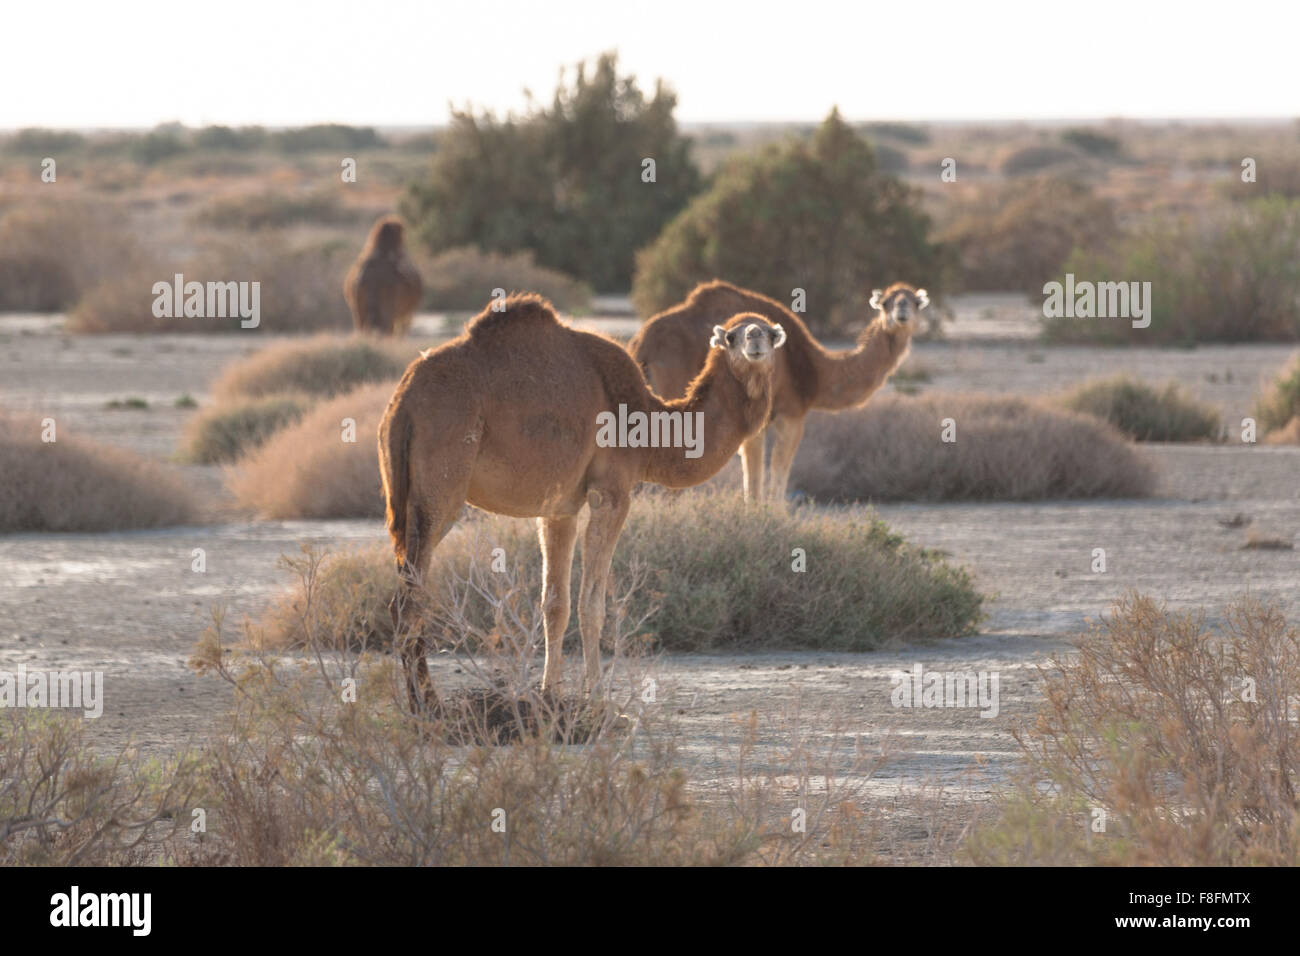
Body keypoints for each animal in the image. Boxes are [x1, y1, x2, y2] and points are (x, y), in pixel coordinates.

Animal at [377, 293, 780, 712]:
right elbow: (592, 604)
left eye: (770, 332)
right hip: (440, 490)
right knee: (409, 599)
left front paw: (549, 695)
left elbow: (555, 604)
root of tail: (403, 403)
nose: (754, 339)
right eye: (731, 336)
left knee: (404, 594)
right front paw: (598, 697)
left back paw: (423, 700)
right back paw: (426, 704)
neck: (648, 425)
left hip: (402, 496)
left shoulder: (560, 507)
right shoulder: (612, 492)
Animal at [629, 280, 925, 504]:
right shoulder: (790, 414)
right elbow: (776, 475)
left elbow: (755, 478)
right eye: (886, 302)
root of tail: (642, 346)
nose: (901, 310)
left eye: (913, 301)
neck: (815, 372)